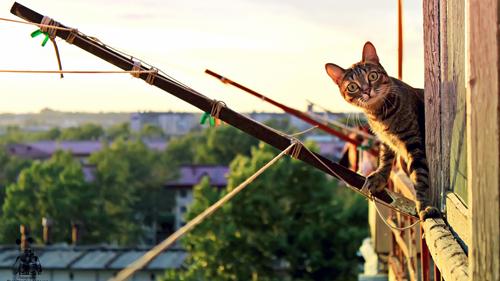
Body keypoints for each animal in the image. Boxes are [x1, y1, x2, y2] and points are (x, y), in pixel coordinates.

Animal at [324, 41, 438, 219]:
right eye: (352, 86)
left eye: (372, 76)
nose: (366, 90)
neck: (379, 114)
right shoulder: (385, 140)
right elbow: (385, 159)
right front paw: (380, 177)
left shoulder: (414, 141)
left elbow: (419, 175)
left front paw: (424, 205)